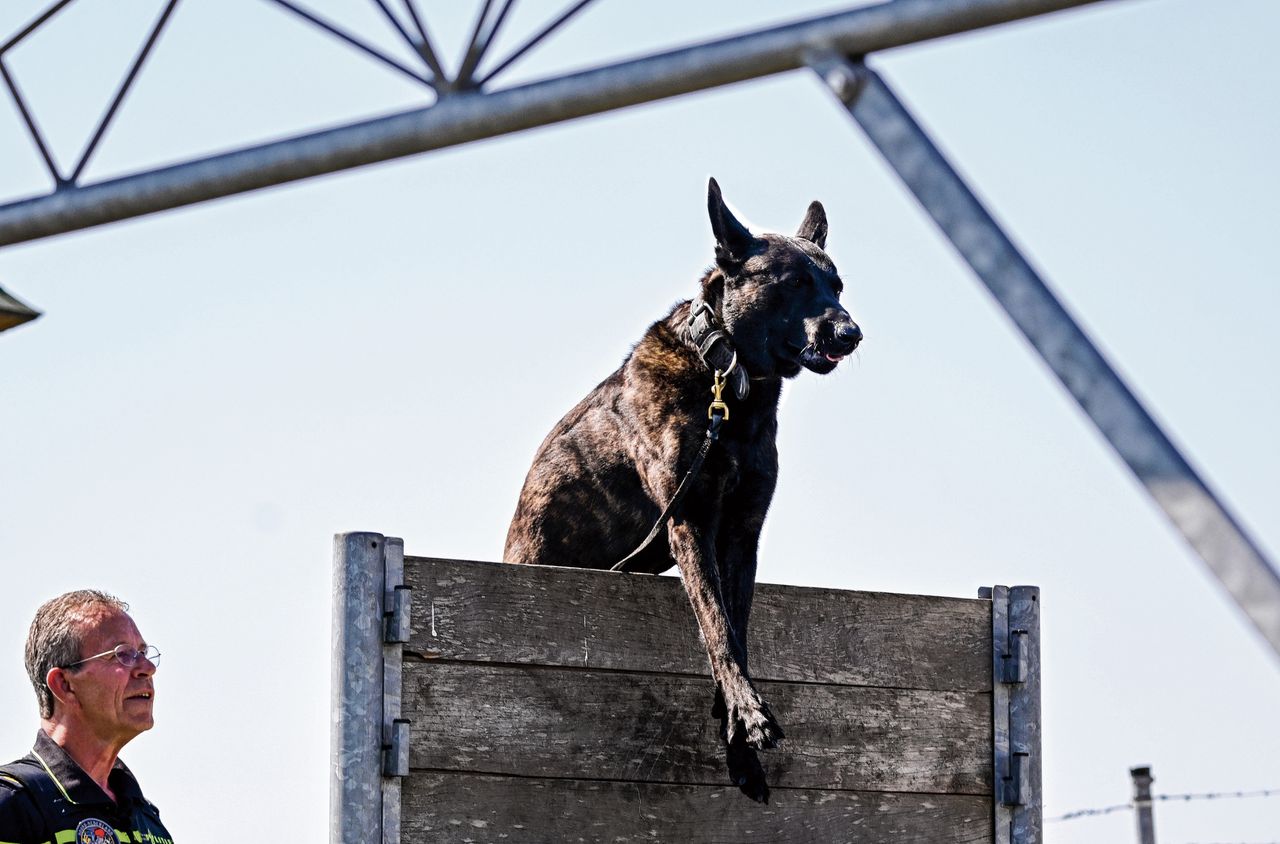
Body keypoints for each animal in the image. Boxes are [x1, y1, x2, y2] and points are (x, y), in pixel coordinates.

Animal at [501, 176, 860, 799]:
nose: (851, 332)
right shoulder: (690, 520)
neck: (731, 383)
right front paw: (748, 715)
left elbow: (735, 626)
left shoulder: (741, 533)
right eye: (794, 283)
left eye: (836, 285)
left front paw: (737, 733)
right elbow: (717, 625)